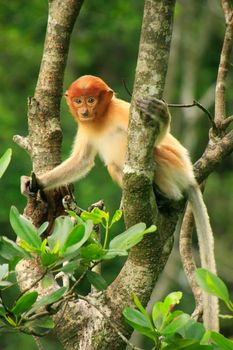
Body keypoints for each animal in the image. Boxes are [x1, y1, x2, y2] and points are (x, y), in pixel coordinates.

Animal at [21, 75, 218, 330]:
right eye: (79, 100)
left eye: (91, 100)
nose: (84, 111)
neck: (101, 118)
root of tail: (190, 177)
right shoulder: (86, 128)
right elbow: (81, 161)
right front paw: (35, 183)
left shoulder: (124, 111)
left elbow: (157, 138)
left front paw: (161, 115)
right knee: (115, 167)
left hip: (174, 166)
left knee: (154, 153)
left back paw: (165, 197)